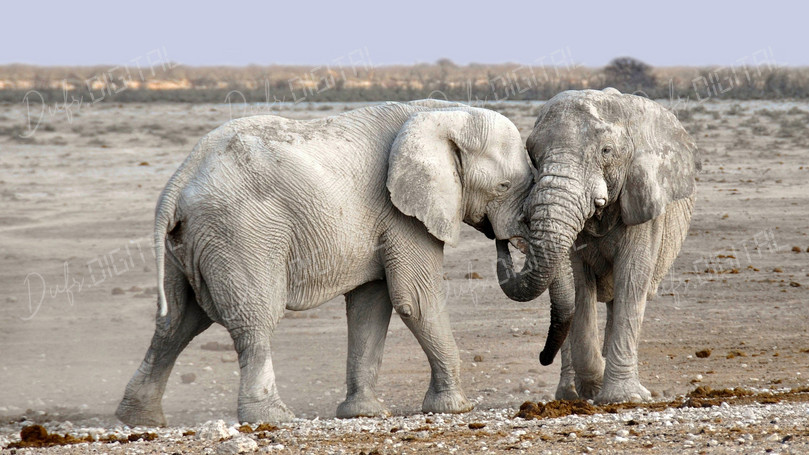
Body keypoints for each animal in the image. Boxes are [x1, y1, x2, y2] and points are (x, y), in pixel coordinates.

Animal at [115, 99, 534, 426]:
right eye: (503, 187)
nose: (503, 242)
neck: (444, 114)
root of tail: (179, 180)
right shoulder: (403, 214)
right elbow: (416, 299)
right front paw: (456, 408)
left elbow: (370, 306)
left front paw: (364, 414)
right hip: (240, 234)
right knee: (255, 319)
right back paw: (273, 418)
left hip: (189, 243)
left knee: (177, 322)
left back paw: (139, 419)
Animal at [496, 88, 699, 403]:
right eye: (533, 155)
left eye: (606, 151)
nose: (503, 239)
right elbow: (579, 285)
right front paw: (595, 385)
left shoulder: (643, 201)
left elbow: (632, 278)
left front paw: (623, 398)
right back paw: (570, 394)